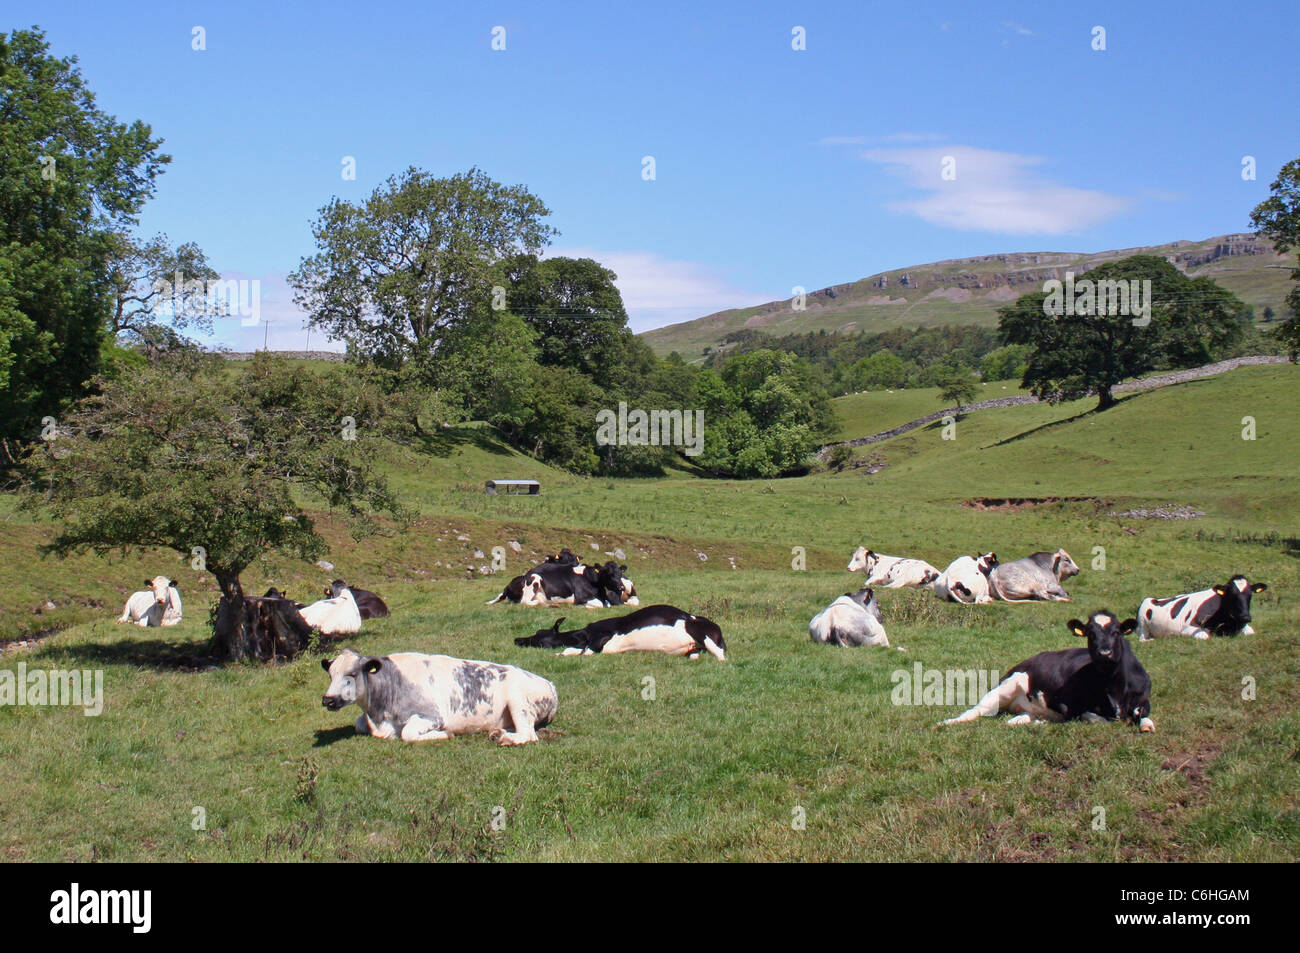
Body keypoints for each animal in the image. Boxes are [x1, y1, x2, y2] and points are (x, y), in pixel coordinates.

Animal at [321, 647, 559, 743]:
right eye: (330, 674)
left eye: (352, 674)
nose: (328, 699)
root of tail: (550, 684)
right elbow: (359, 724)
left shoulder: (432, 716)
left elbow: (407, 733)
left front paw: (445, 734)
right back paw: (497, 732)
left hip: (518, 701)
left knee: (528, 734)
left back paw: (506, 738)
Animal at [941, 605, 1154, 733]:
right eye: (1090, 634)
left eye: (1116, 632)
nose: (1104, 652)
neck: (1114, 688)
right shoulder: (1069, 706)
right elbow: (1095, 718)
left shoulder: (1143, 697)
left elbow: (1143, 713)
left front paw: (1146, 725)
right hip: (1004, 688)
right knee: (975, 711)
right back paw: (946, 723)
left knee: (1023, 717)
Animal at [1138, 572, 1268, 639]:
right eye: (1231, 595)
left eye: (1250, 595)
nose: (1245, 617)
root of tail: (1154, 599)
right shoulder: (1187, 628)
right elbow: (1205, 635)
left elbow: (1250, 631)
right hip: (1142, 624)